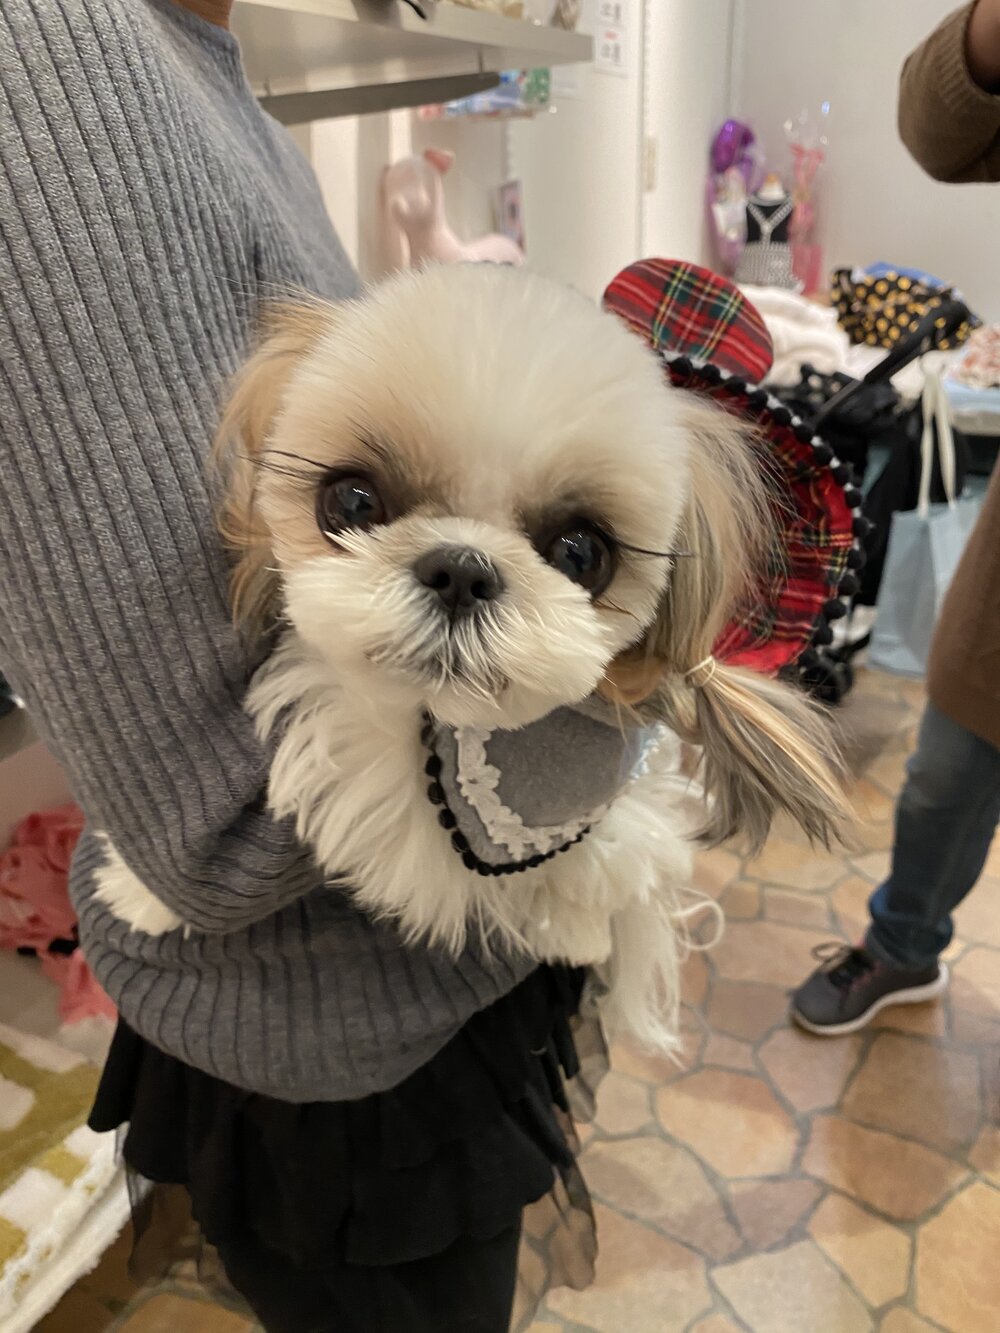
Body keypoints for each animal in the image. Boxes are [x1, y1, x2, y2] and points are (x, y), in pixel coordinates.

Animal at [104, 262, 853, 1050]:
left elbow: (607, 858)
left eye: (581, 552)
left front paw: (575, 928)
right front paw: (138, 888)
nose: (462, 570)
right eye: (353, 501)